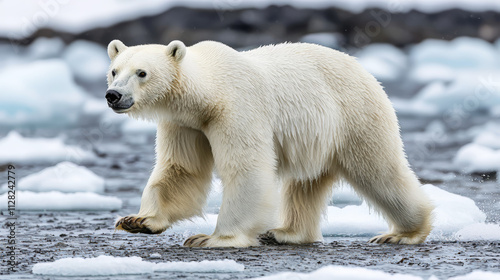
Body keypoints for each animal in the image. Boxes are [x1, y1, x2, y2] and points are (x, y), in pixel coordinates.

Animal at [106, 38, 434, 247]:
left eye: (142, 73)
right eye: (114, 70)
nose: (113, 95)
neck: (208, 94)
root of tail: (364, 69)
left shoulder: (236, 109)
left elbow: (247, 169)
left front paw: (211, 238)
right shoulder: (185, 124)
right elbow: (182, 170)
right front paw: (138, 221)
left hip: (355, 115)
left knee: (379, 172)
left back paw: (402, 233)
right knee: (306, 183)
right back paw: (285, 232)